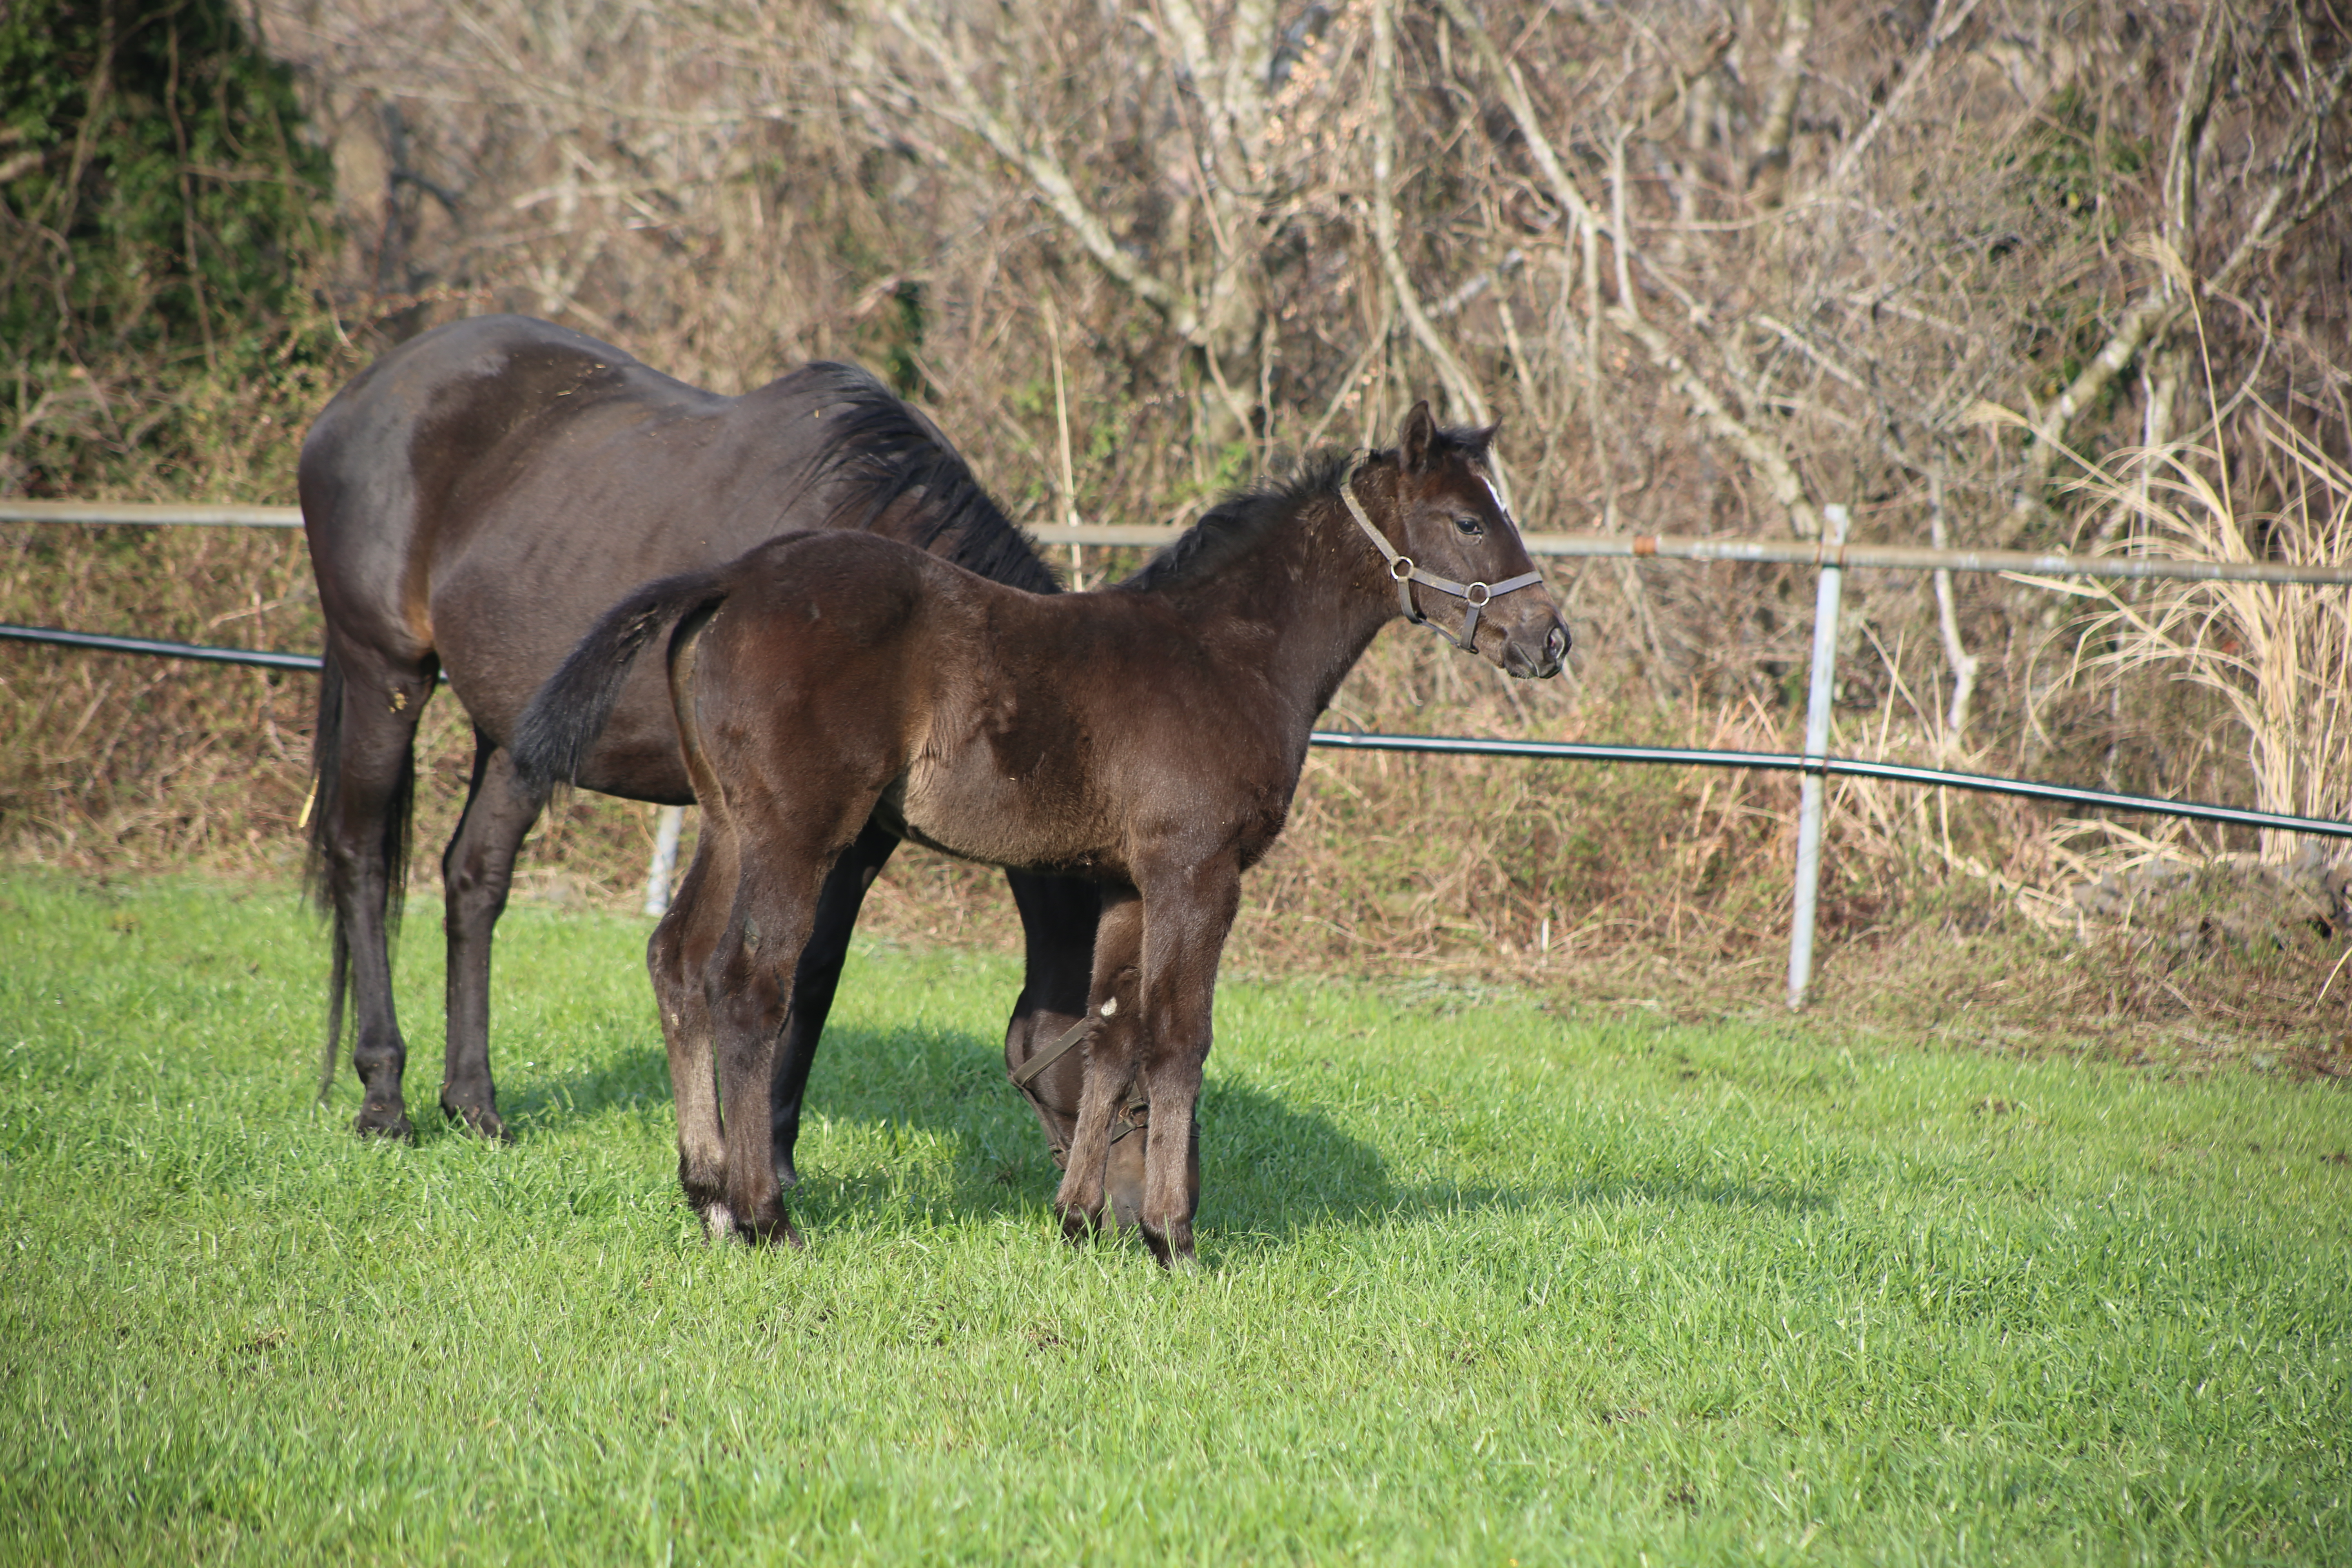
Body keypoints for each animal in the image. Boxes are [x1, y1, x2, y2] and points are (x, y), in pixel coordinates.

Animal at [298, 315, 1096, 1175]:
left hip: (513, 736)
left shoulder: (859, 834)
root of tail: (354, 401)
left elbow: (816, 971)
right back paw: (385, 1100)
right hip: (386, 673)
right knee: (361, 860)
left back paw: (475, 1105)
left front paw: (774, 1152)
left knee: (474, 880)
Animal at [517, 404, 1580, 1260]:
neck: (1227, 656)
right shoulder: (1197, 870)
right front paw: (1171, 1236)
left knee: (677, 961)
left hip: (728, 824)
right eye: (1467, 519)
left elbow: (1110, 1033)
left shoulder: (1123, 883)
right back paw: (766, 1217)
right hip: (798, 834)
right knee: (747, 988)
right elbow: (1178, 1035)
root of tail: (733, 579)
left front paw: (1077, 1220)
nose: (1548, 640)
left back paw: (706, 1197)